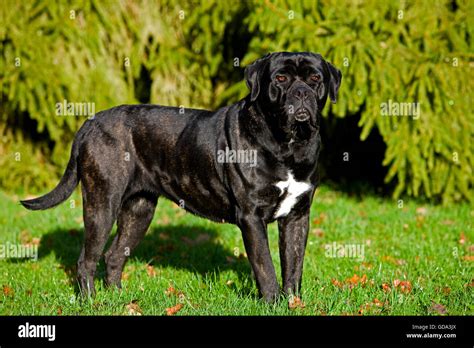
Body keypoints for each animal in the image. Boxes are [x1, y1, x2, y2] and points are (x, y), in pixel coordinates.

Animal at [21, 51, 340, 302]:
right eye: (280, 79)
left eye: (315, 78)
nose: (301, 92)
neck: (289, 145)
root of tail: (89, 123)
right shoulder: (251, 217)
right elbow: (266, 266)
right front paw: (273, 302)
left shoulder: (298, 216)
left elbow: (293, 265)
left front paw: (293, 303)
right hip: (102, 203)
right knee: (87, 259)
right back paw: (92, 302)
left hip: (139, 209)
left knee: (113, 255)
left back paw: (117, 299)